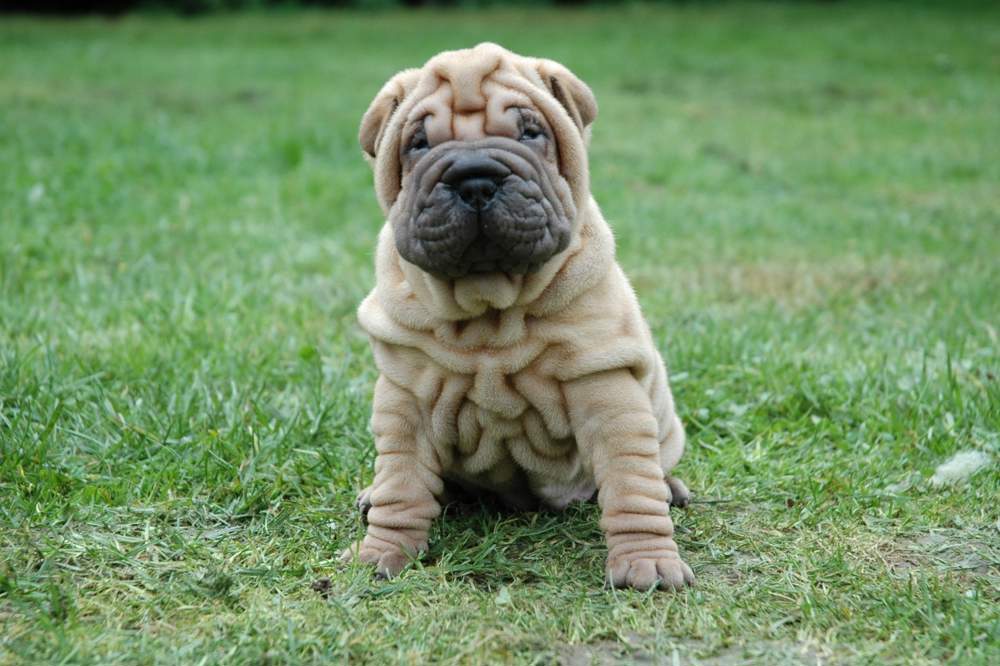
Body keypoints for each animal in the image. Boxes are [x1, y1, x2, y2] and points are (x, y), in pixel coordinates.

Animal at [344, 44, 696, 588]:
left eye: (530, 133)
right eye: (418, 144)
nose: (474, 179)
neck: (491, 310)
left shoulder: (606, 388)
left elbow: (631, 485)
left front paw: (647, 563)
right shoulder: (406, 399)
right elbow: (402, 485)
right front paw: (382, 553)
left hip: (666, 425)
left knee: (654, 468)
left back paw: (672, 488)